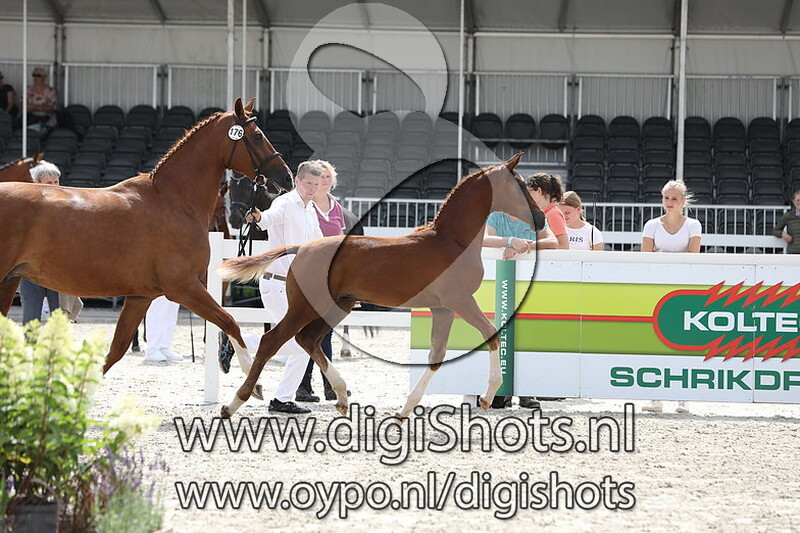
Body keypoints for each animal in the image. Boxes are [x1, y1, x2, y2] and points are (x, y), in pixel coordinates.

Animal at [0, 98, 293, 393]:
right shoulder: (184, 287)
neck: (174, 200)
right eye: (258, 136)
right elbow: (230, 321)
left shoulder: (141, 297)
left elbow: (114, 352)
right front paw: (253, 383)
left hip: (9, 281)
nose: (287, 177)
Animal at [216, 153, 546, 418]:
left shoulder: (442, 308)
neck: (452, 240)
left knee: (307, 340)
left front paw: (406, 409)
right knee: (272, 341)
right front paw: (489, 396)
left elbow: (436, 356)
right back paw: (234, 402)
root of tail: (302, 247)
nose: (541, 219)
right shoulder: (459, 300)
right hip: (304, 307)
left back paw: (341, 397)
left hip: (337, 307)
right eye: (520, 186)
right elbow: (491, 333)